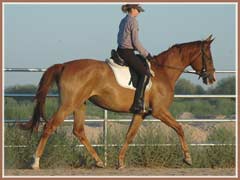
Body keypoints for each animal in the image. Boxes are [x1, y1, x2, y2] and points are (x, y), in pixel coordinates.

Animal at [20, 34, 216, 169]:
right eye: (208, 55)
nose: (212, 78)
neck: (163, 72)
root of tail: (64, 65)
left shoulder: (141, 113)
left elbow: (129, 135)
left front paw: (120, 162)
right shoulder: (159, 111)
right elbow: (180, 128)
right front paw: (188, 158)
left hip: (80, 105)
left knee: (79, 131)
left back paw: (99, 161)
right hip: (68, 105)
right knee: (49, 127)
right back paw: (35, 162)